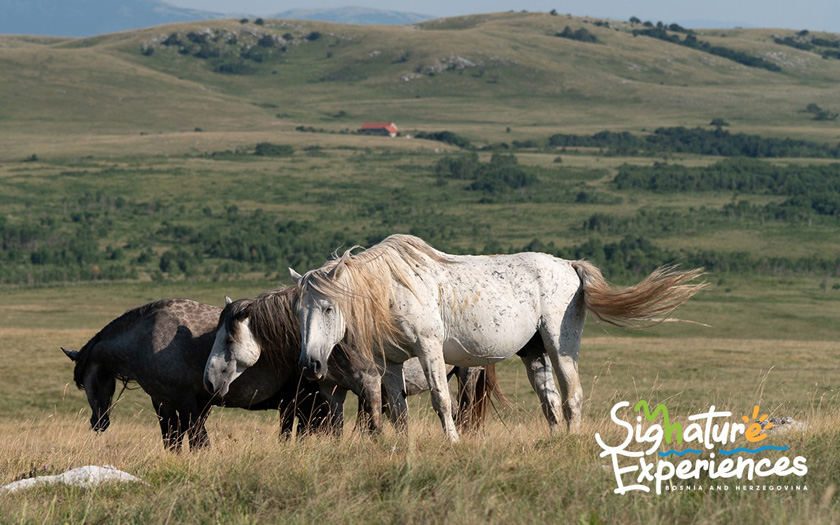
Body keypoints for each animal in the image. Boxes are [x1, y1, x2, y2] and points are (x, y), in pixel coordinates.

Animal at [64, 298, 332, 450]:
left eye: (87, 382)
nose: (98, 422)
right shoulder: (166, 402)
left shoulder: (185, 402)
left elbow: (197, 441)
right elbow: (173, 440)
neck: (147, 338)